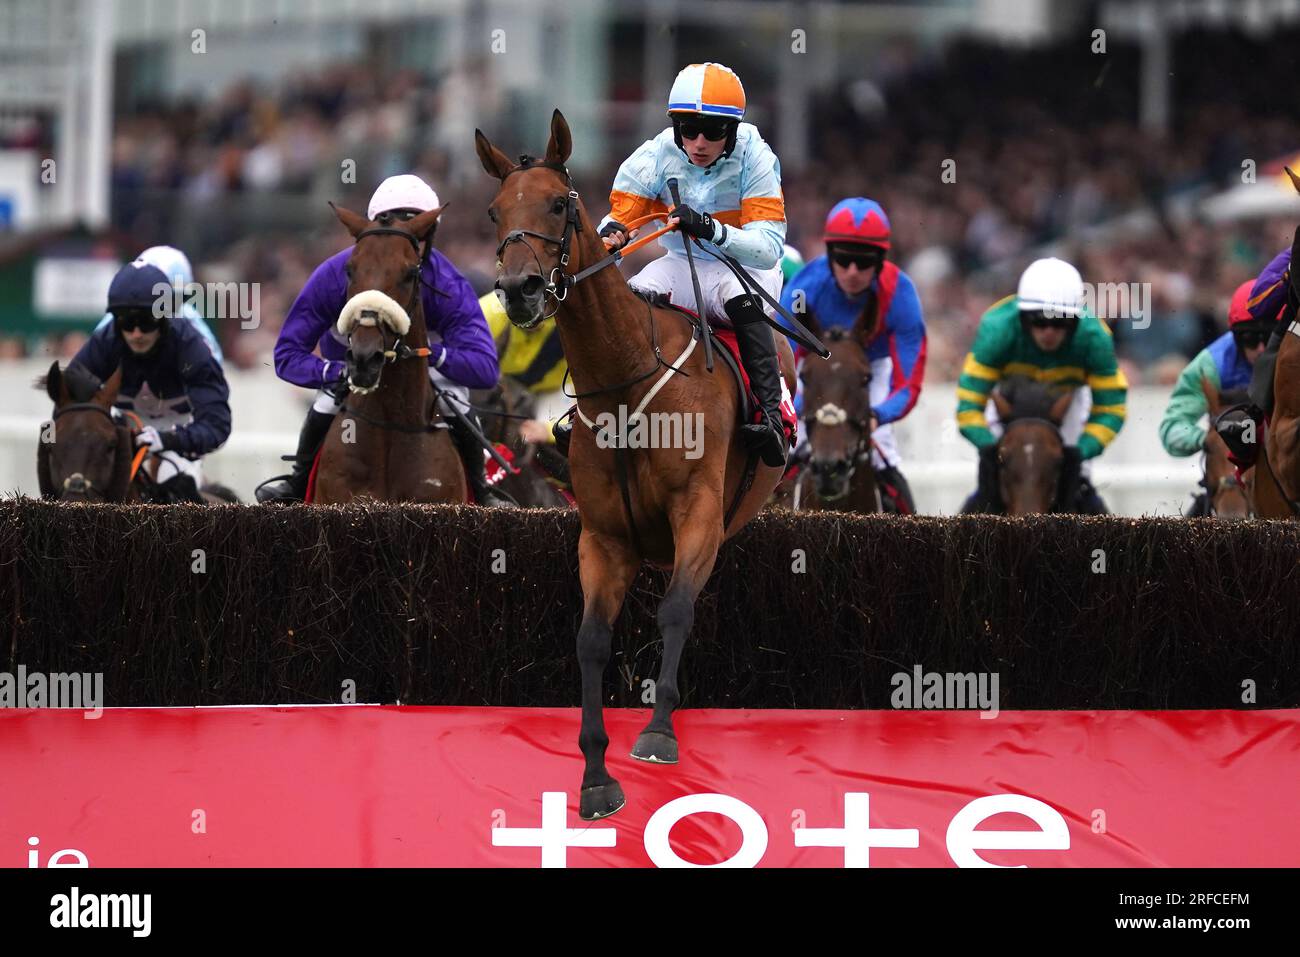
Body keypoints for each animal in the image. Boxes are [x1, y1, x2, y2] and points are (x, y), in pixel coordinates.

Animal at [478, 110, 795, 816]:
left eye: (559, 203)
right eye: (493, 211)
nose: (519, 290)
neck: (627, 379)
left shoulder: (699, 514)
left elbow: (675, 610)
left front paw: (656, 734)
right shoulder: (603, 536)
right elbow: (591, 639)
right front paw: (597, 775)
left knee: (743, 297)